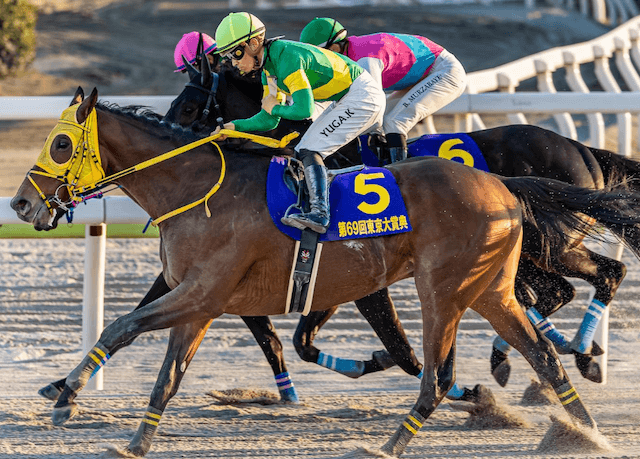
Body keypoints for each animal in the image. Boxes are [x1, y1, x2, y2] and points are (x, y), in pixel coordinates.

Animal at [11, 86, 640, 456]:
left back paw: (391, 444)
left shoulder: (202, 293)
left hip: (445, 288)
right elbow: (164, 368)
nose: (21, 204)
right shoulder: (201, 301)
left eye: (61, 143)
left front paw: (68, 396)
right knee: (542, 350)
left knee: (440, 373)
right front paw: (125, 436)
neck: (199, 188)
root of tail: (502, 185)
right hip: (492, 290)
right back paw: (584, 433)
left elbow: (125, 327)